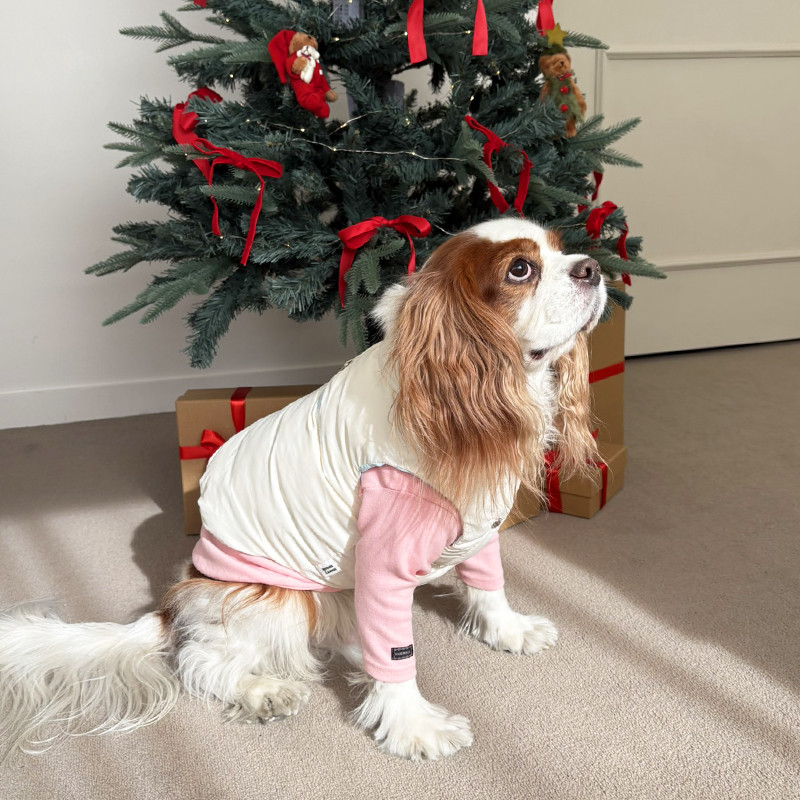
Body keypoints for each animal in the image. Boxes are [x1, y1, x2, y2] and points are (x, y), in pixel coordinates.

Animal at [0, 217, 606, 762]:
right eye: (520, 269)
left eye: (560, 247)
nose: (594, 268)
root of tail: (173, 604)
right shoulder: (384, 559)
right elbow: (397, 657)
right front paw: (414, 726)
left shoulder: (479, 524)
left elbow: (489, 585)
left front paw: (509, 630)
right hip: (273, 598)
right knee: (199, 660)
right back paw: (261, 689)